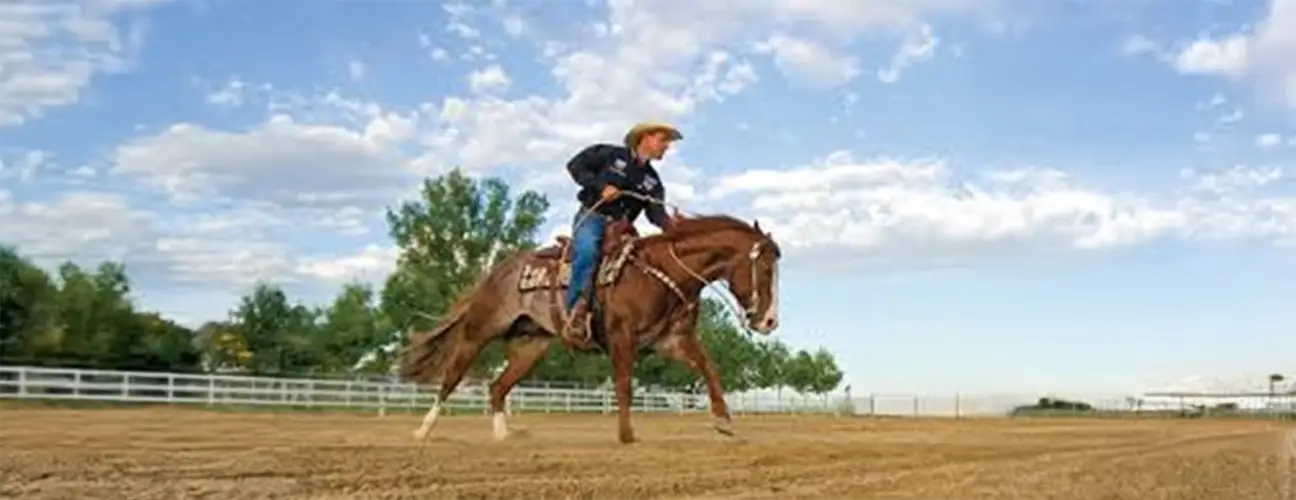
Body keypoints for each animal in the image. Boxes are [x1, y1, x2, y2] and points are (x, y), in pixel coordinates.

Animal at [395, 213, 782, 444]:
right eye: (765, 270)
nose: (769, 321)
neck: (659, 272)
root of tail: (498, 272)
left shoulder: (673, 340)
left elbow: (709, 368)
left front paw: (724, 421)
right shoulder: (621, 338)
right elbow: (624, 385)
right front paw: (626, 435)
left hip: (529, 346)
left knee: (497, 387)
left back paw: (504, 436)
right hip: (479, 331)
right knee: (452, 377)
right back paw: (423, 430)